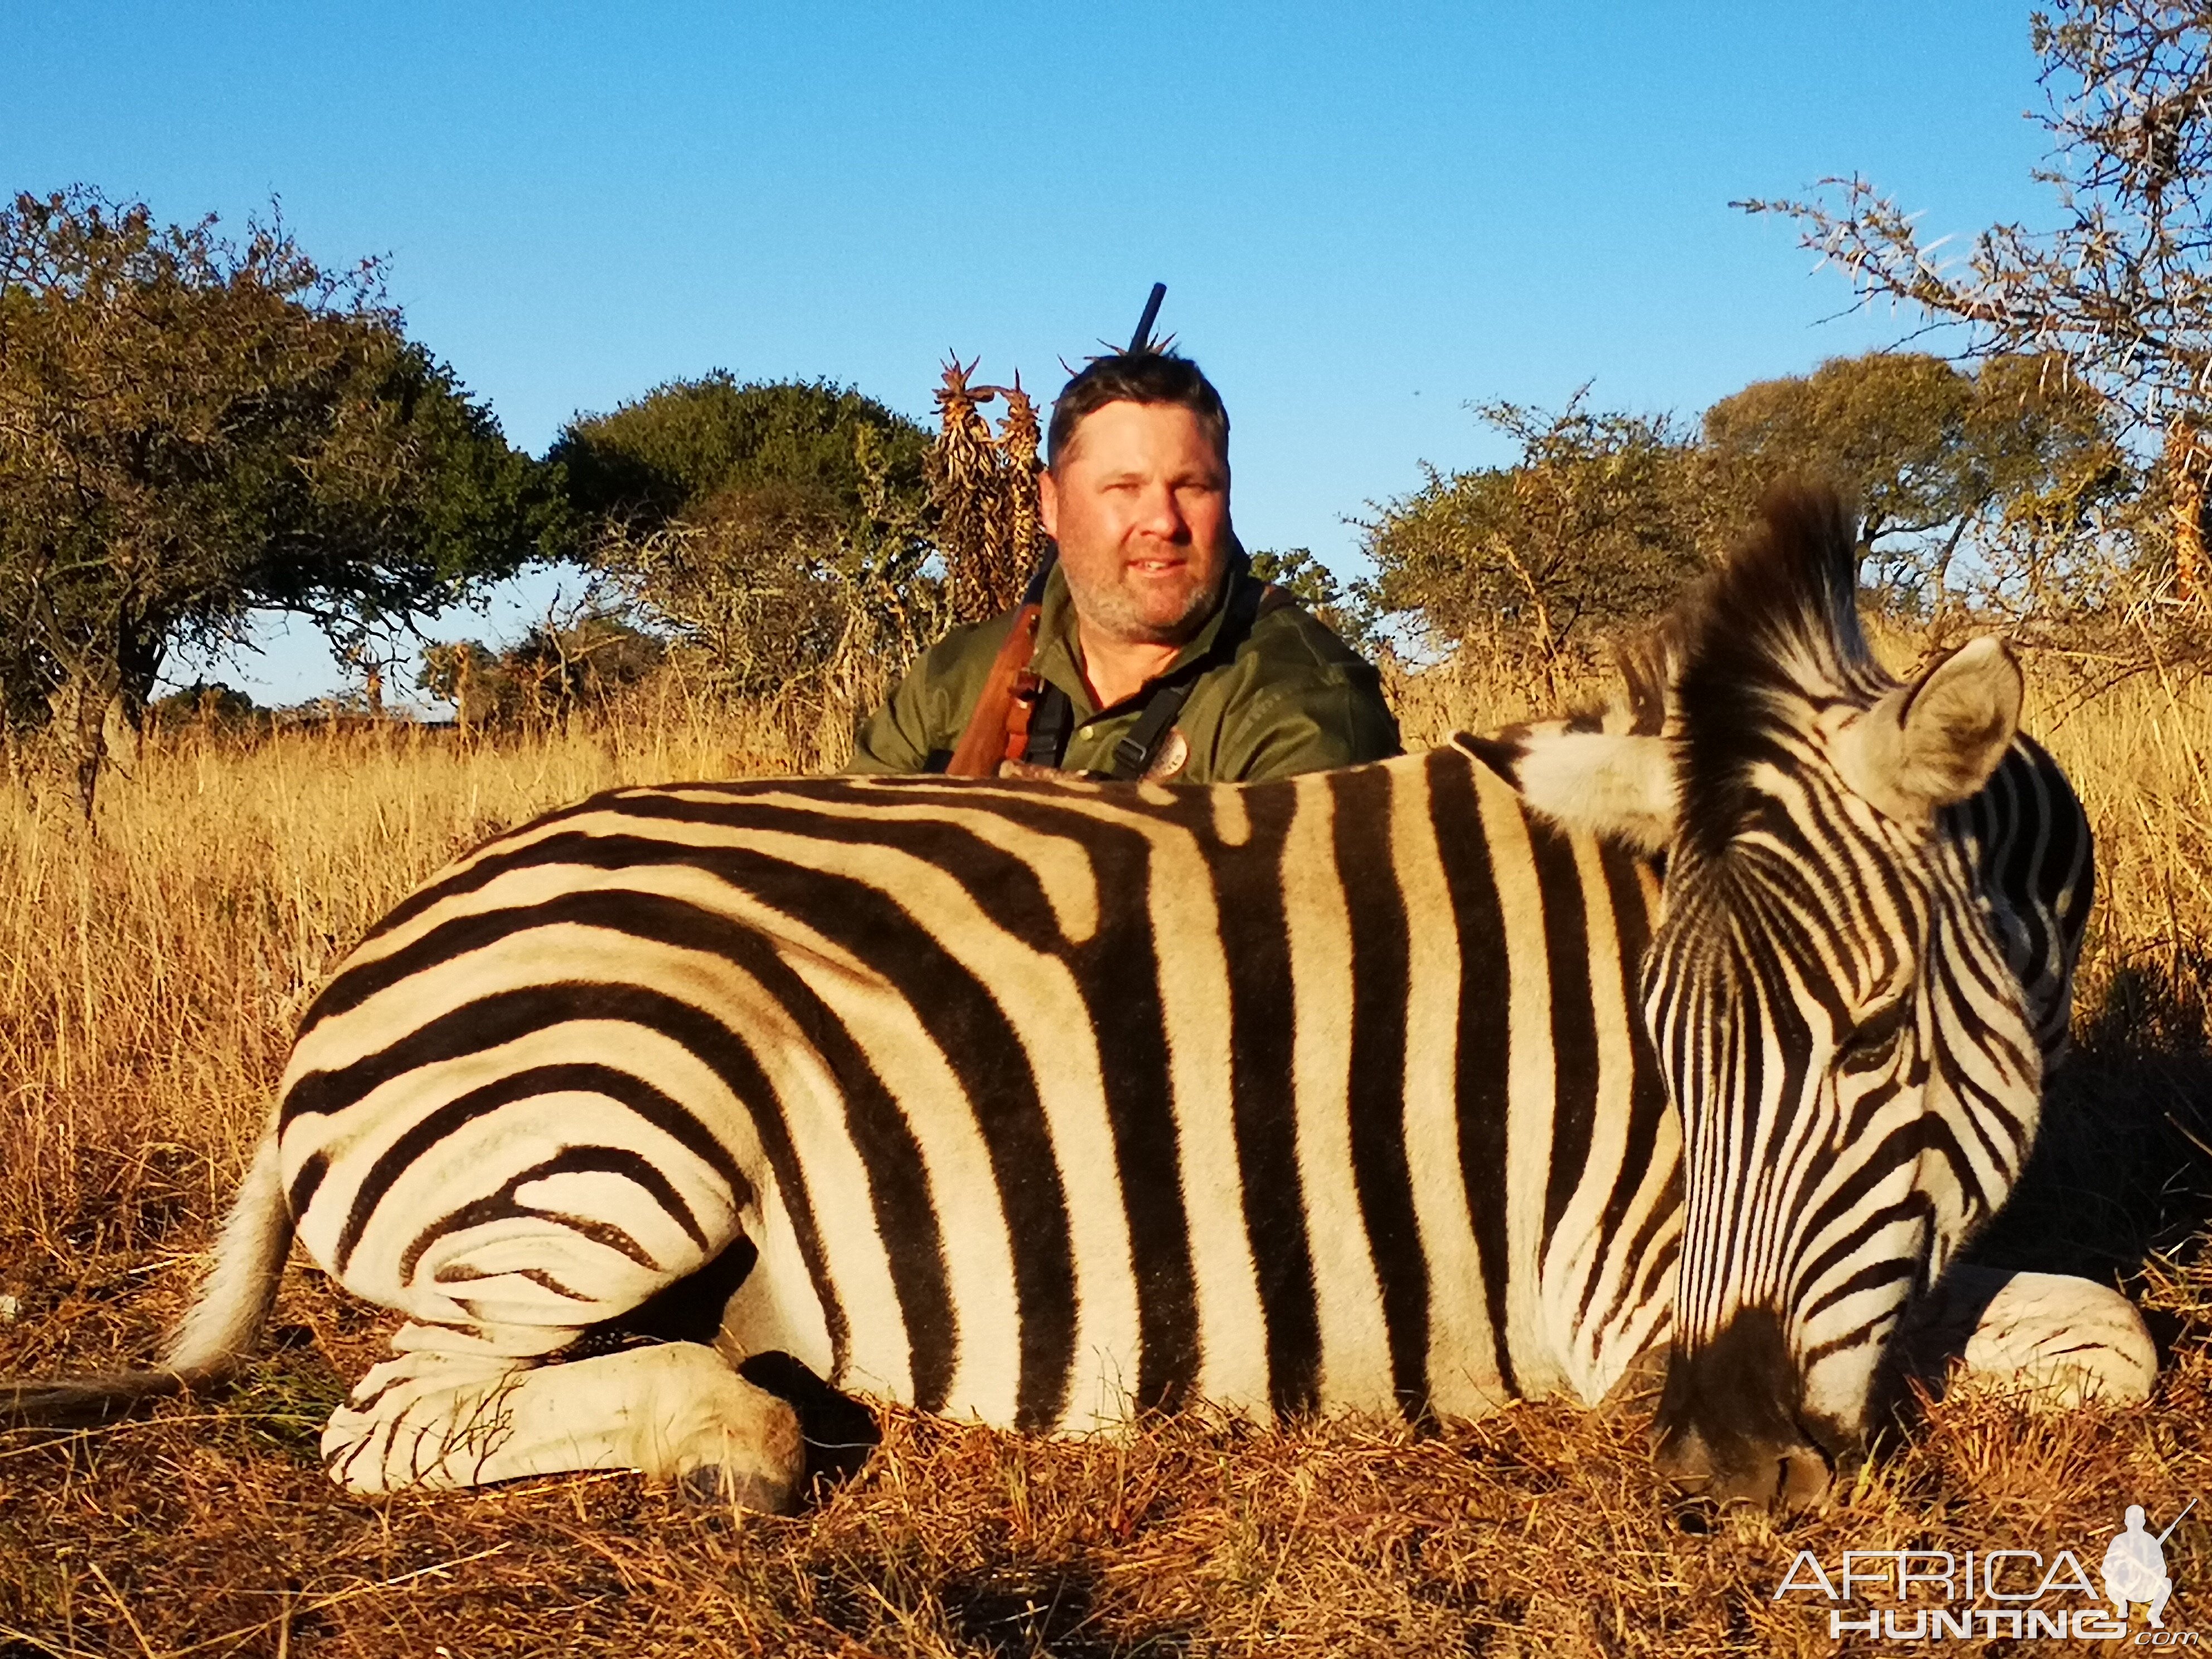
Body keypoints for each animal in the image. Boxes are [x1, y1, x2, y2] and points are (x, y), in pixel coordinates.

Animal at [0, 480, 2141, 1504]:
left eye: (1868, 1042)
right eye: (1666, 1066)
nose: (1712, 1462)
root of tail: (355, 964)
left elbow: (2091, 1331)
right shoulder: (1612, 1295)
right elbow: (2085, 1337)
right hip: (613, 1139)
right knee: (387, 1420)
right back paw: (729, 1438)